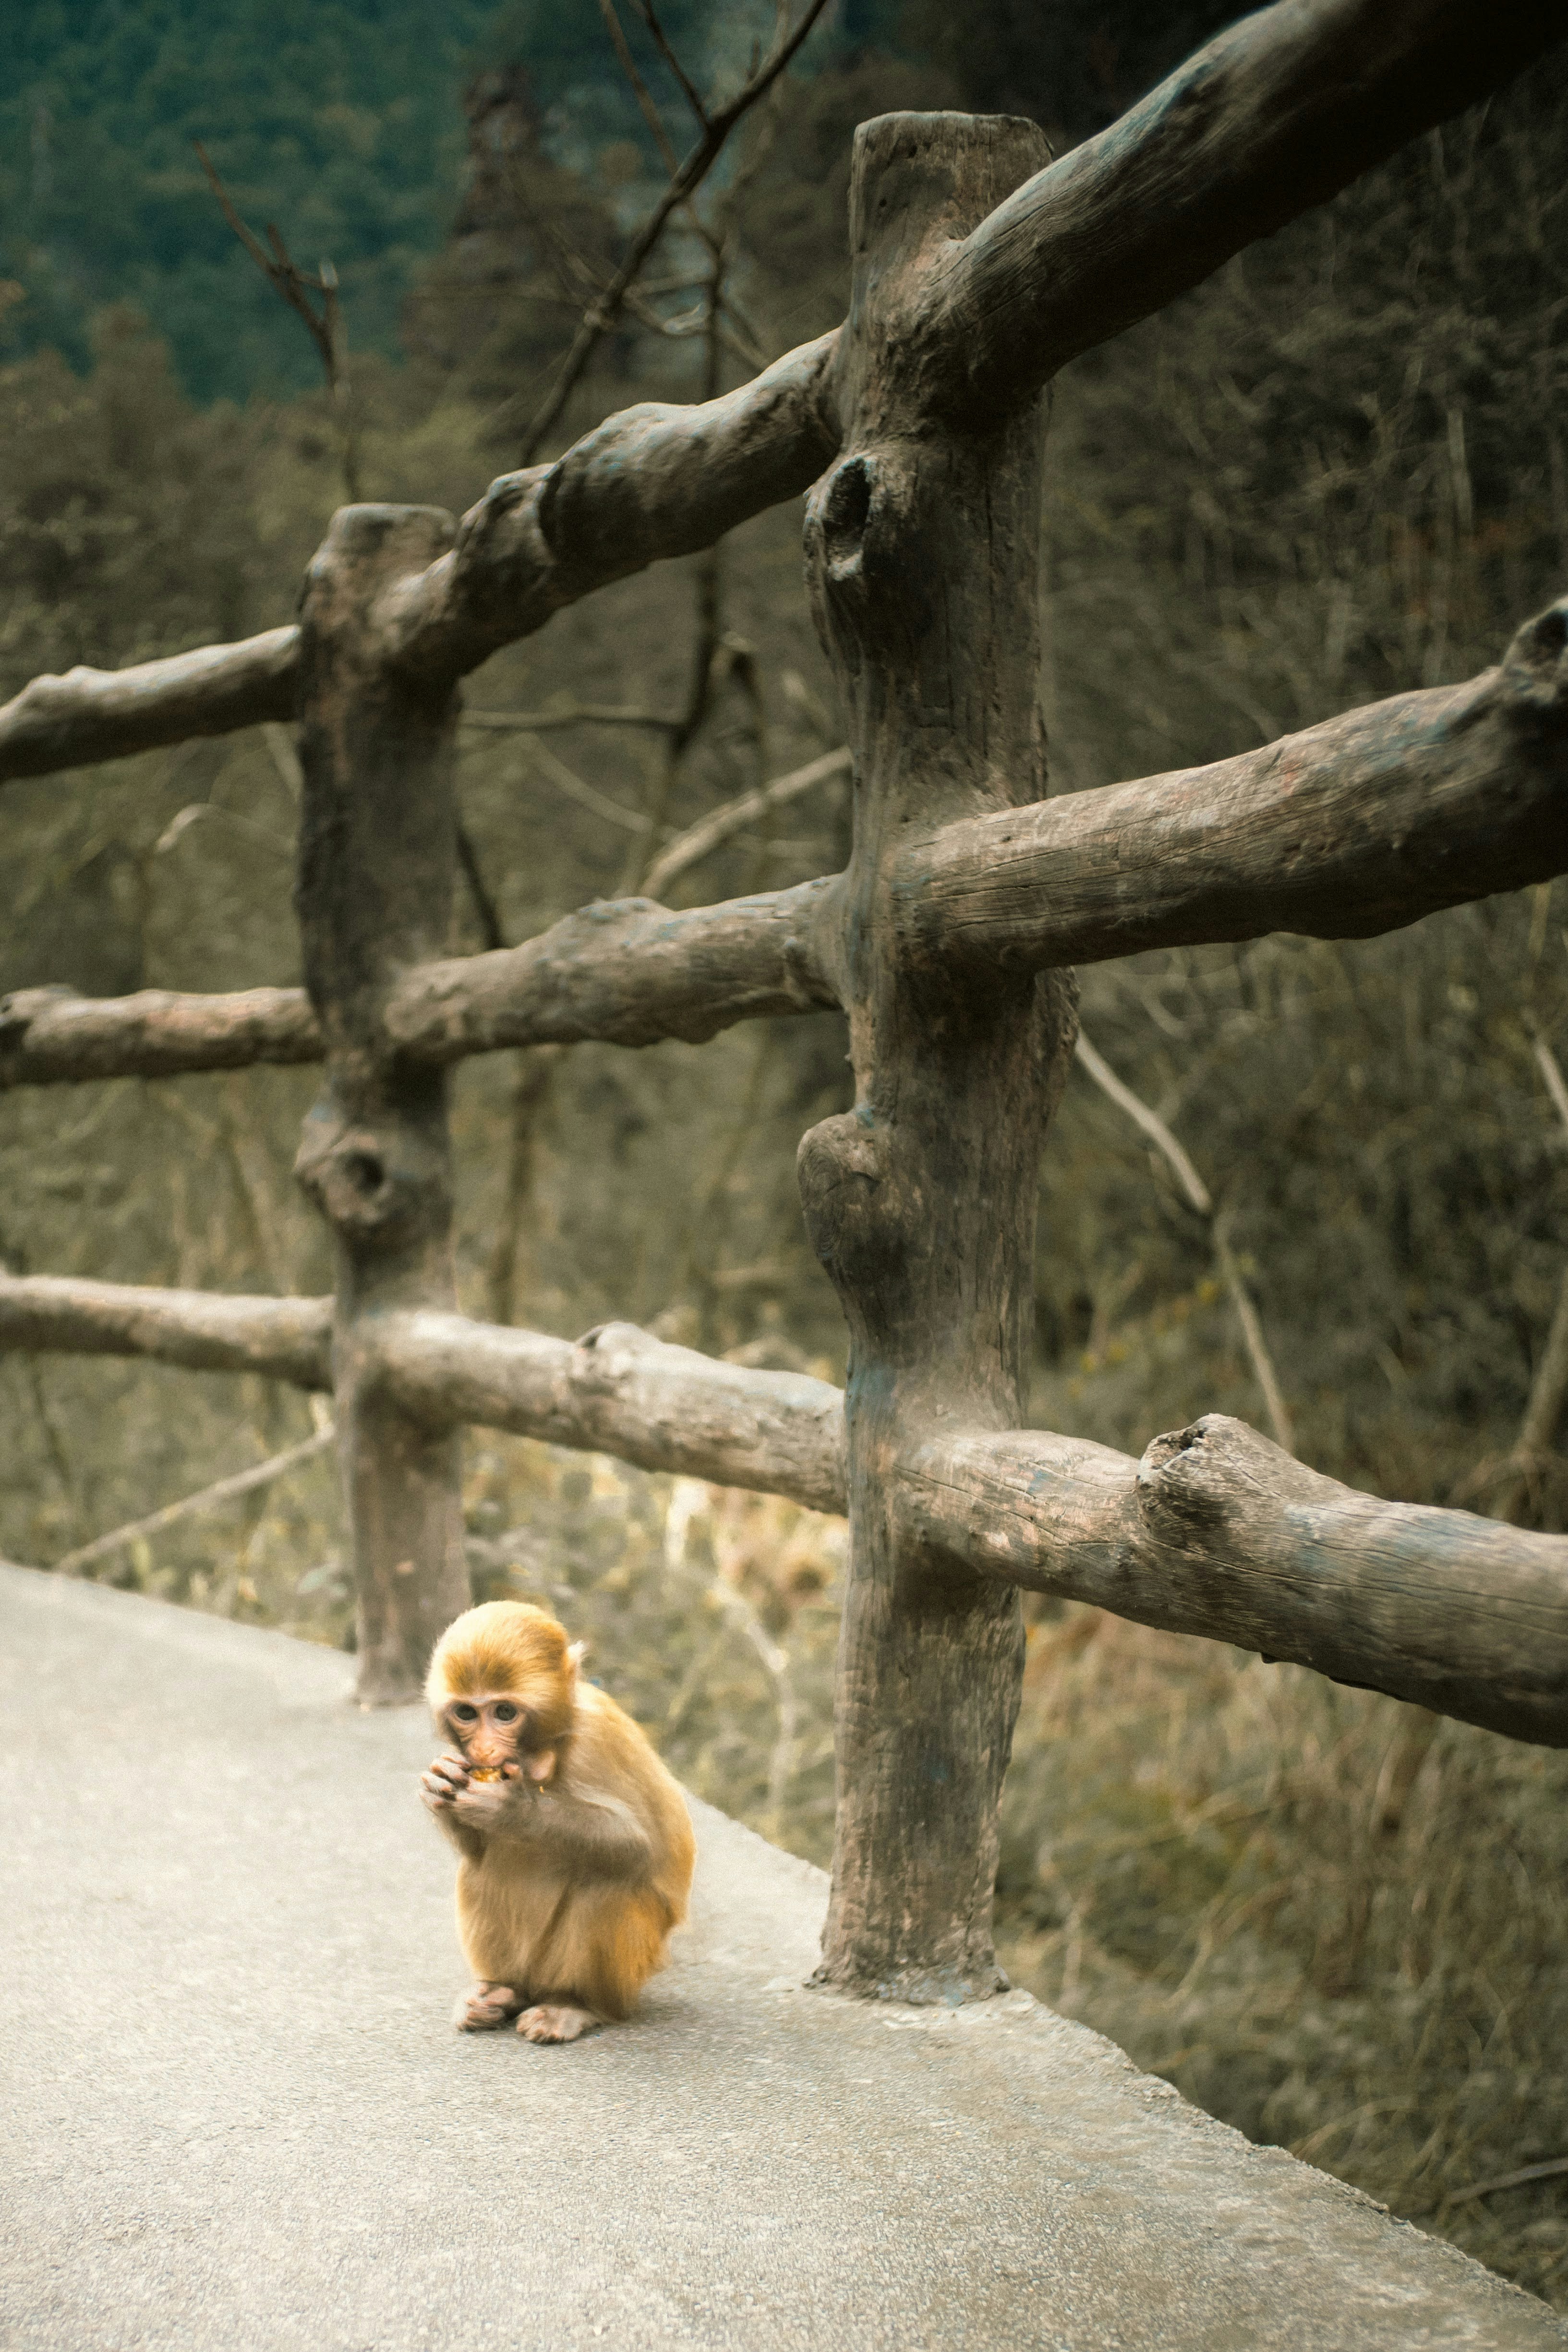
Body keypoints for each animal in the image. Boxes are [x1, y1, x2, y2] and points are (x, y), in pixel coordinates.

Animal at [421, 1600, 696, 2043]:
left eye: (505, 1712)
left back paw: (575, 2006)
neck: (548, 1745)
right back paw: (502, 1994)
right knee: (478, 1869)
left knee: (607, 1882)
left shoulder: (597, 1740)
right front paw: (439, 1784)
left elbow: (639, 1845)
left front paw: (516, 1810)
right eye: (466, 1713)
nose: (483, 1749)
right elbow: (476, 1848)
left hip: (633, 1966)